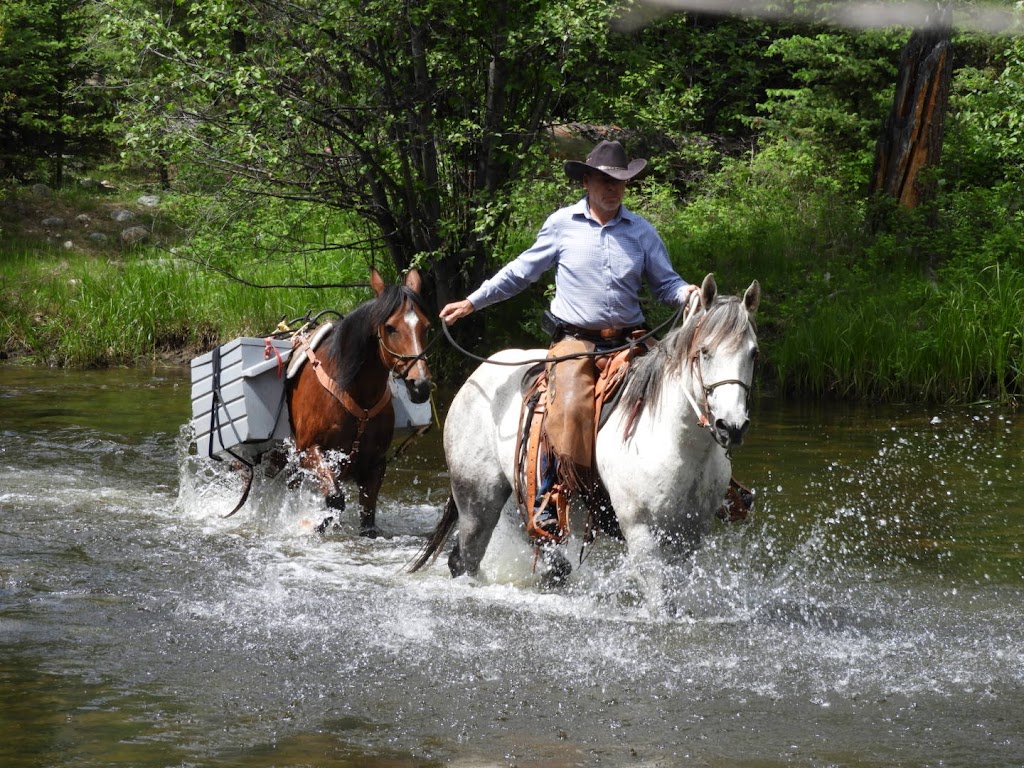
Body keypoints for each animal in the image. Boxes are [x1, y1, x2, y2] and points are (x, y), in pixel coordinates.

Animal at [288, 268, 432, 536]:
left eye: (426, 326)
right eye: (390, 327)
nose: (420, 385)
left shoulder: (375, 463)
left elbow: (368, 514)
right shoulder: (308, 450)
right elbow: (335, 499)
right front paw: (315, 525)